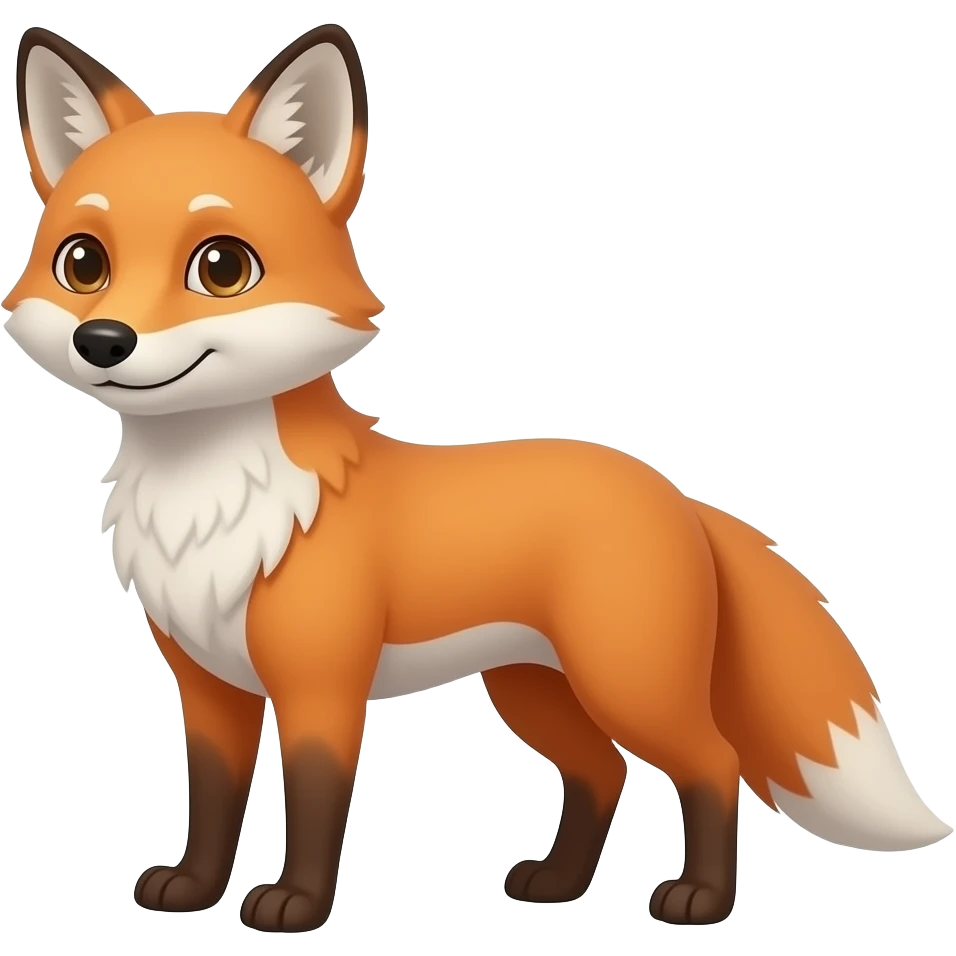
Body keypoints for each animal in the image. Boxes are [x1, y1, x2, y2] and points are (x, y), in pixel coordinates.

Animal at [4, 24, 951, 935]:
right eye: (82, 263)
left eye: (222, 267)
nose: (104, 341)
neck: (212, 501)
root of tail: (676, 494)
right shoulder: (208, 687)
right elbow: (212, 802)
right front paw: (194, 890)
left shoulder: (322, 685)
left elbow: (314, 805)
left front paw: (296, 907)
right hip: (534, 691)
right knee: (603, 773)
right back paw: (559, 884)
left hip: (627, 683)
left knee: (713, 765)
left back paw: (700, 901)